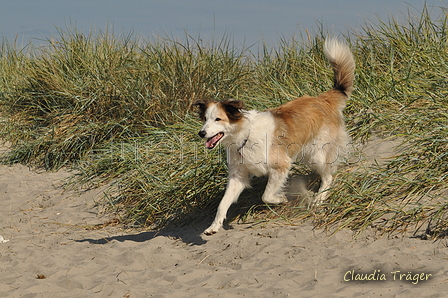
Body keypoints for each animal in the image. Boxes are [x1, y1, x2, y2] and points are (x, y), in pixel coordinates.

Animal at [194, 37, 356, 235]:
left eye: (218, 119)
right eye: (205, 119)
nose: (201, 133)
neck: (245, 137)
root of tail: (322, 99)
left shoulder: (280, 166)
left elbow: (267, 195)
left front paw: (281, 198)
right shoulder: (238, 177)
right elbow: (222, 204)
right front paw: (214, 226)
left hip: (316, 153)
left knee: (328, 176)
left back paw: (320, 197)